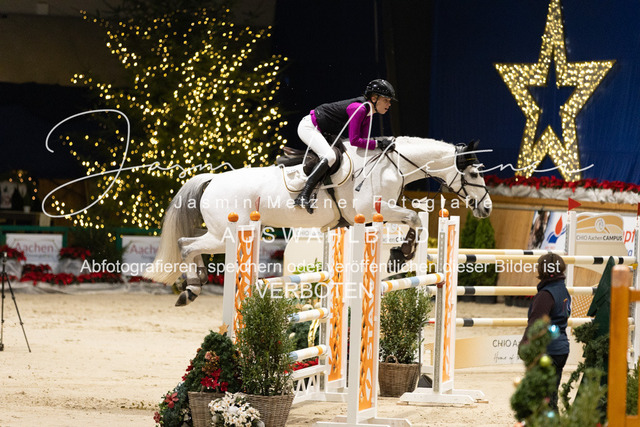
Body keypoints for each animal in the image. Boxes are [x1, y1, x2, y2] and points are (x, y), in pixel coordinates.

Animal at [143, 137, 493, 305]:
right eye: (475, 174)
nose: (487, 208)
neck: (390, 166)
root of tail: (212, 179)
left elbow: (414, 219)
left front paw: (399, 254)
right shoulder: (375, 210)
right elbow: (414, 218)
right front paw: (401, 254)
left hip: (226, 234)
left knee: (188, 245)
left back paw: (193, 284)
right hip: (225, 234)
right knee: (185, 245)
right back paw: (191, 287)